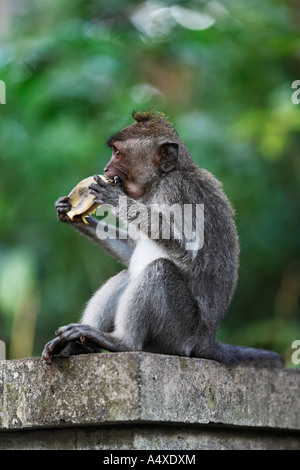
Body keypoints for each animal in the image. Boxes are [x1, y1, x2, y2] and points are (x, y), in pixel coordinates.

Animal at [42, 111, 284, 368]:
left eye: (117, 152)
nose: (107, 169)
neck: (159, 181)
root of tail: (205, 340)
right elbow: (133, 250)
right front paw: (71, 215)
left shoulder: (175, 190)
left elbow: (189, 252)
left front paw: (115, 198)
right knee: (129, 274)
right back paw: (79, 345)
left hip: (179, 333)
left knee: (159, 270)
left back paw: (122, 342)